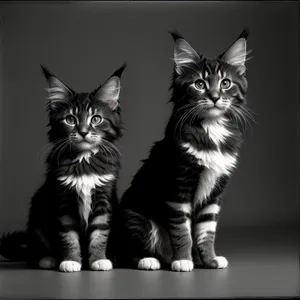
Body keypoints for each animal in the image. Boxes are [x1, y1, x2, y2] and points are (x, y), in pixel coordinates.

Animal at [0, 64, 125, 274]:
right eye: (70, 119)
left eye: (96, 119)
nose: (83, 132)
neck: (83, 161)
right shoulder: (63, 200)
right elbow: (68, 236)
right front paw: (71, 261)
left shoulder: (104, 198)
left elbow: (100, 234)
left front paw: (99, 260)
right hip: (37, 216)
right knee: (35, 253)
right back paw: (48, 259)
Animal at [116, 29, 252, 272]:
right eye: (199, 84)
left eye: (226, 83)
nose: (215, 97)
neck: (212, 127)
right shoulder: (178, 187)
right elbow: (182, 231)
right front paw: (182, 260)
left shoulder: (215, 193)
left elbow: (206, 231)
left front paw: (210, 260)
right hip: (136, 218)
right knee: (130, 252)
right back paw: (150, 260)